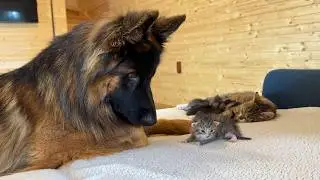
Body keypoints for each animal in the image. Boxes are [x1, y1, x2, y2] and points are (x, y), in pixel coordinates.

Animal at [0, 10, 190, 176]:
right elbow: (137, 134)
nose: (151, 120)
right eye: (132, 75)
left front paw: (189, 123)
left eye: (151, 76)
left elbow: (164, 121)